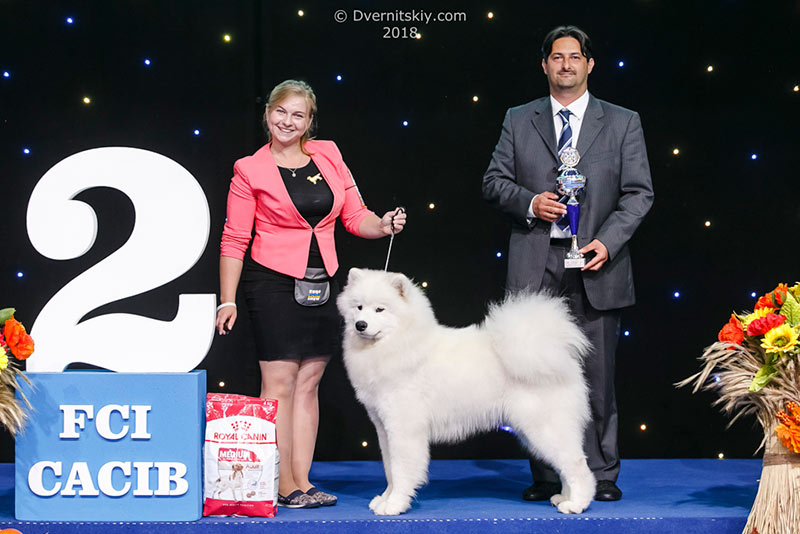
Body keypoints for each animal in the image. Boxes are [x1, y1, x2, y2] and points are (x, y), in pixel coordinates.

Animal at [337, 268, 595, 515]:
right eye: (358, 307)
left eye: (380, 309)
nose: (361, 324)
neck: (401, 343)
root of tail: (557, 351)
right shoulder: (383, 428)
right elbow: (389, 469)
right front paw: (385, 499)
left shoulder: (403, 429)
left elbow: (401, 471)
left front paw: (395, 505)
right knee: (566, 465)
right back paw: (564, 498)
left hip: (545, 428)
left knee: (577, 465)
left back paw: (577, 504)